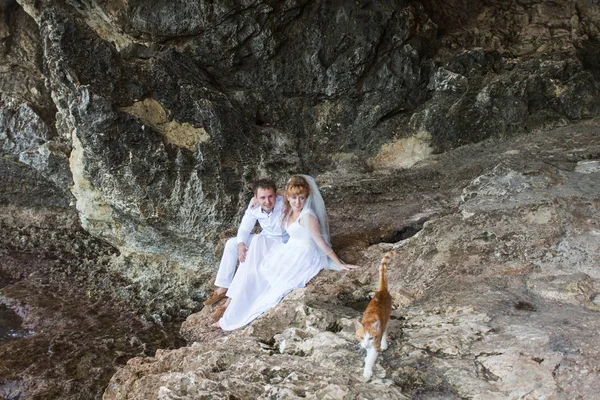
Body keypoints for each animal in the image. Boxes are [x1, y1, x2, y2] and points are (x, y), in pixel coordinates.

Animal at [354, 250, 396, 378]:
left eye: (371, 337)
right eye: (361, 337)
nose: (366, 345)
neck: (369, 319)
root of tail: (381, 291)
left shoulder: (375, 343)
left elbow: (372, 357)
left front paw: (367, 371)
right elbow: (368, 353)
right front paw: (366, 356)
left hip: (387, 318)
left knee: (385, 330)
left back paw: (384, 344)